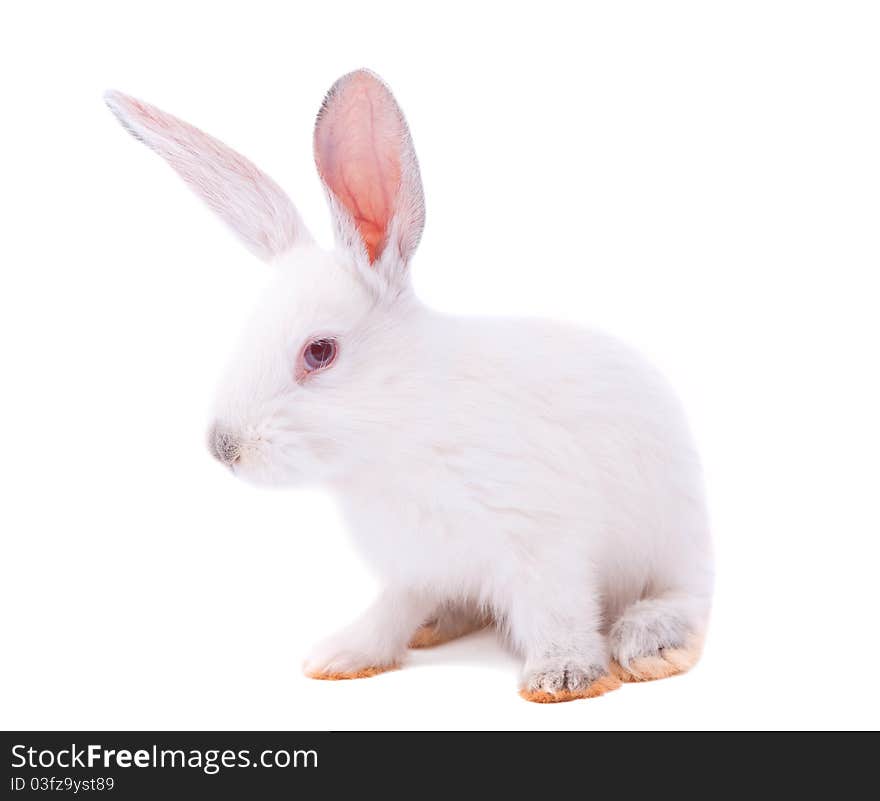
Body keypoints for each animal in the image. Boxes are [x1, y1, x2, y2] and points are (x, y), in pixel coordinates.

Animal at [106, 67, 712, 700]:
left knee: (686, 598)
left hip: (671, 547)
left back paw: (648, 641)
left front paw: (561, 677)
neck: (402, 428)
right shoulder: (415, 564)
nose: (223, 447)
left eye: (319, 352)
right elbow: (392, 610)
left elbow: (558, 613)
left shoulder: (544, 544)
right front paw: (342, 656)